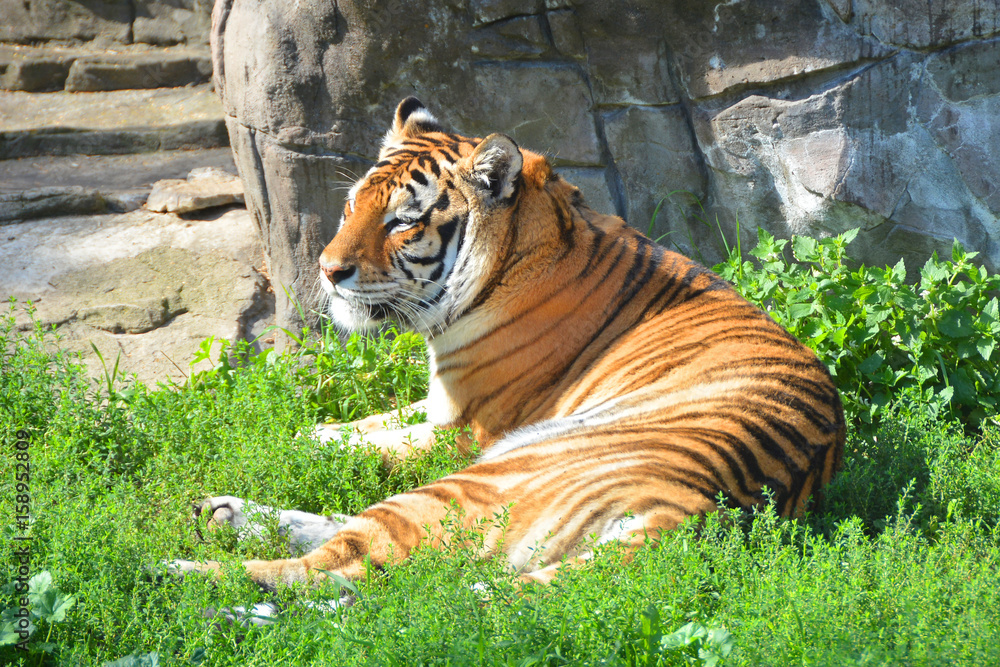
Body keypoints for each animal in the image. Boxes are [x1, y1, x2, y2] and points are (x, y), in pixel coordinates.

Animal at [171, 97, 845, 591]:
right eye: (352, 206)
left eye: (402, 221)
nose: (328, 270)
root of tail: (696, 510)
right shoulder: (439, 404)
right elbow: (339, 431)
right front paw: (297, 438)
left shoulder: (463, 431)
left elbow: (363, 448)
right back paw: (221, 513)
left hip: (482, 475)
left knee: (341, 567)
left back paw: (182, 574)